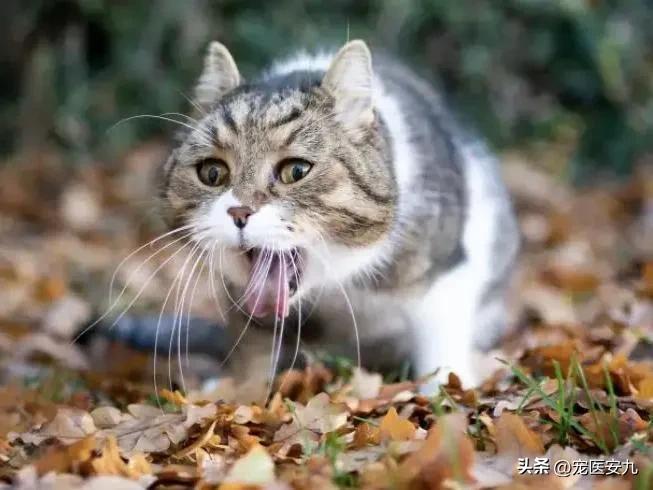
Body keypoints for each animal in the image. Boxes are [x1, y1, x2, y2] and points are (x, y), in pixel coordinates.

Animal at [155, 38, 516, 392]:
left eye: (296, 170)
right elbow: (252, 352)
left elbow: (440, 344)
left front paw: (448, 389)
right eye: (212, 173)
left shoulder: (445, 270)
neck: (337, 281)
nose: (239, 211)